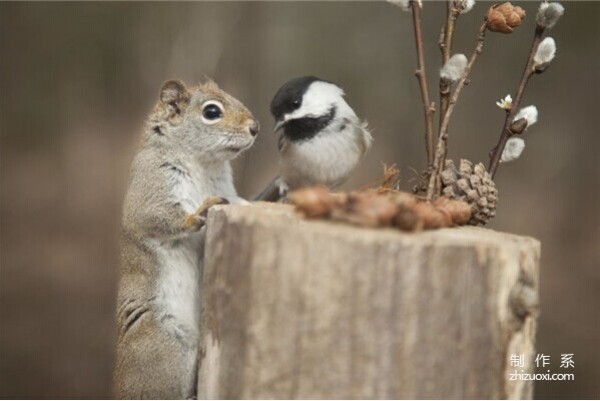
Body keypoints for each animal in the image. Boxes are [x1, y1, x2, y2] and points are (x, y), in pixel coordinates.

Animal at [113, 77, 258, 396]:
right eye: (212, 112)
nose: (255, 127)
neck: (204, 164)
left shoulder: (229, 194)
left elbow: (243, 203)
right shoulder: (150, 186)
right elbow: (156, 217)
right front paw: (197, 213)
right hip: (164, 346)